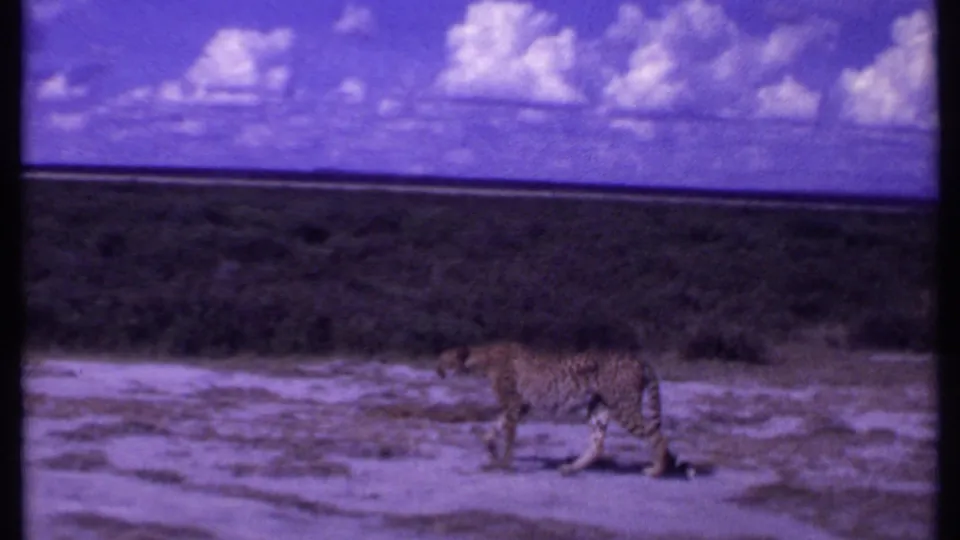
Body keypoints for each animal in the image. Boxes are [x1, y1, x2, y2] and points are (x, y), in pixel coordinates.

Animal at [436, 341, 693, 478]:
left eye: (444, 360)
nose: (437, 370)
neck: (482, 359)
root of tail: (638, 358)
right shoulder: (520, 406)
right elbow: (495, 428)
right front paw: (491, 449)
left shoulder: (514, 405)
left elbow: (508, 434)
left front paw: (505, 463)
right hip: (598, 407)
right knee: (598, 444)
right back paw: (571, 468)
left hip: (623, 407)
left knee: (657, 435)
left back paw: (656, 470)